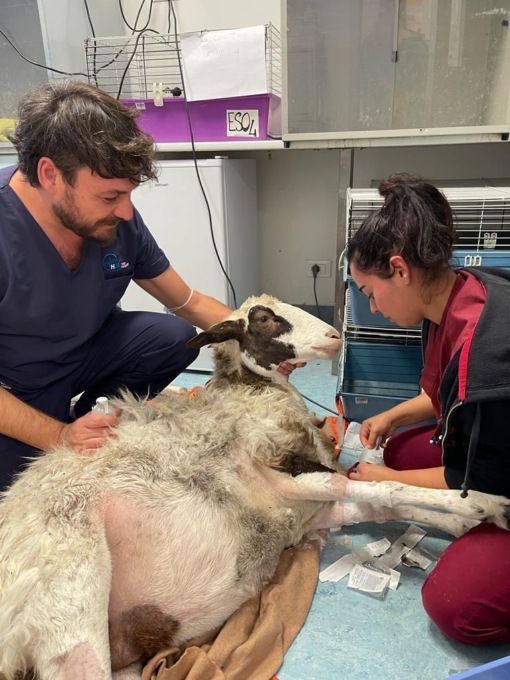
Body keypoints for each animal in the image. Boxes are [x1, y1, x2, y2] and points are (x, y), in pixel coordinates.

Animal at [1, 294, 509, 680]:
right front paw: (485, 503)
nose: (334, 337)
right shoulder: (286, 480)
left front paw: (466, 523)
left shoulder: (312, 512)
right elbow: (387, 491)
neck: (253, 395)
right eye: (263, 319)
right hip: (70, 615)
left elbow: (382, 508)